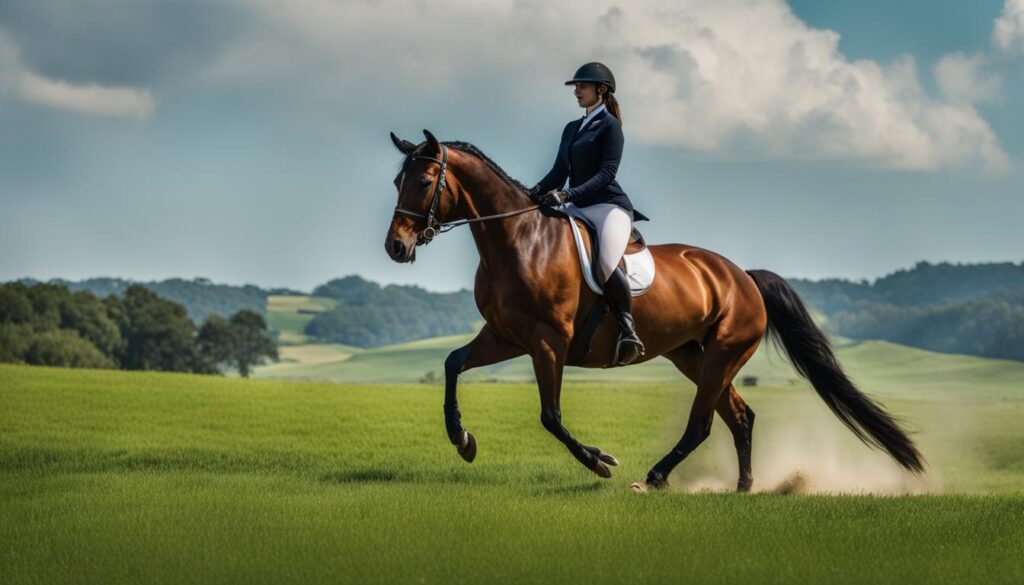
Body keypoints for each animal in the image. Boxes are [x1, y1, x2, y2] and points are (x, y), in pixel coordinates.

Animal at [385, 129, 924, 492]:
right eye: (397, 180)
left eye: (426, 180)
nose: (396, 246)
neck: (517, 240)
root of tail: (744, 276)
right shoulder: (507, 335)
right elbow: (453, 364)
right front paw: (462, 438)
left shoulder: (547, 341)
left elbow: (550, 416)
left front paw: (598, 461)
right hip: (692, 354)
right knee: (739, 416)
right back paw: (744, 487)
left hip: (723, 352)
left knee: (705, 422)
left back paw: (656, 477)